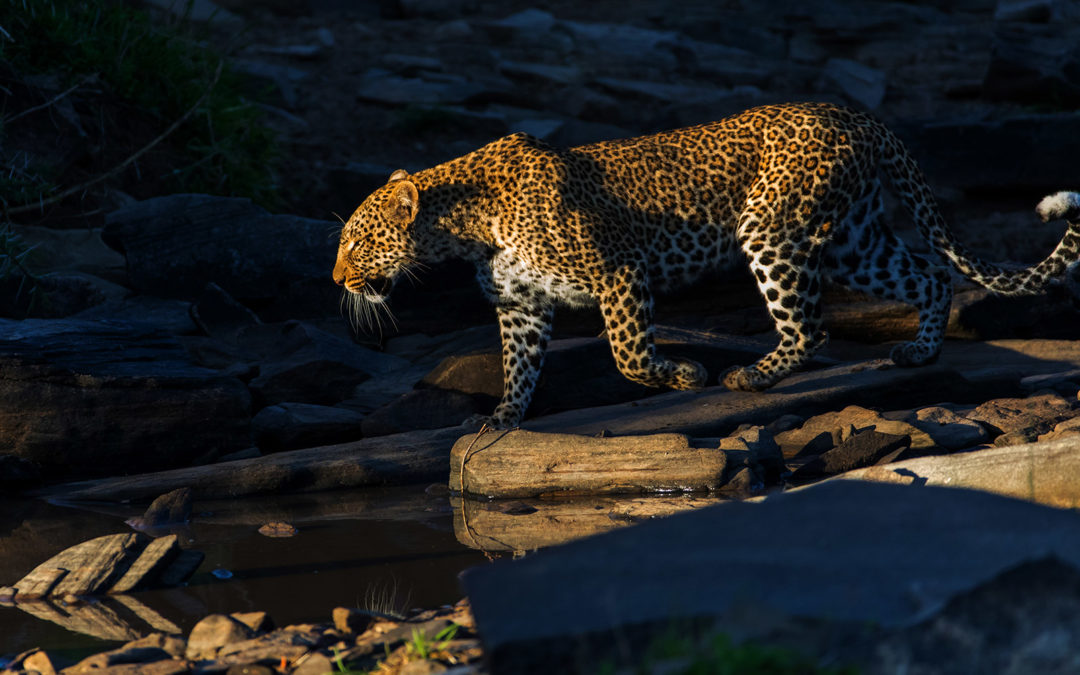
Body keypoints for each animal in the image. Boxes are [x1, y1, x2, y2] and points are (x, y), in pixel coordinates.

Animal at [330, 99, 1080, 425]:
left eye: (357, 242)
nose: (336, 278)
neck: (465, 229)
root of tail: (856, 112)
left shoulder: (619, 273)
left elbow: (628, 355)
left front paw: (683, 374)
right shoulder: (522, 306)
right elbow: (520, 366)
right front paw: (503, 417)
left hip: (772, 230)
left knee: (811, 325)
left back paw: (751, 375)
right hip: (851, 240)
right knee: (928, 272)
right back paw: (919, 353)